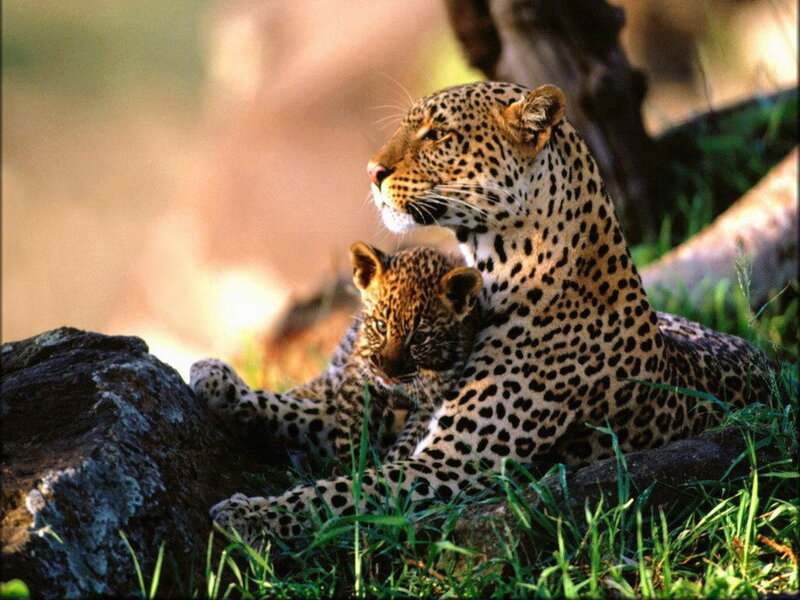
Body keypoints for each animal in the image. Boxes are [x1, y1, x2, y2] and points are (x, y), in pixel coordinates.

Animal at [191, 242, 481, 466]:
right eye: (381, 326)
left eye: (419, 338)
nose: (387, 373)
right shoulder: (353, 378)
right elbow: (326, 413)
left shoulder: (427, 403)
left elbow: (405, 442)